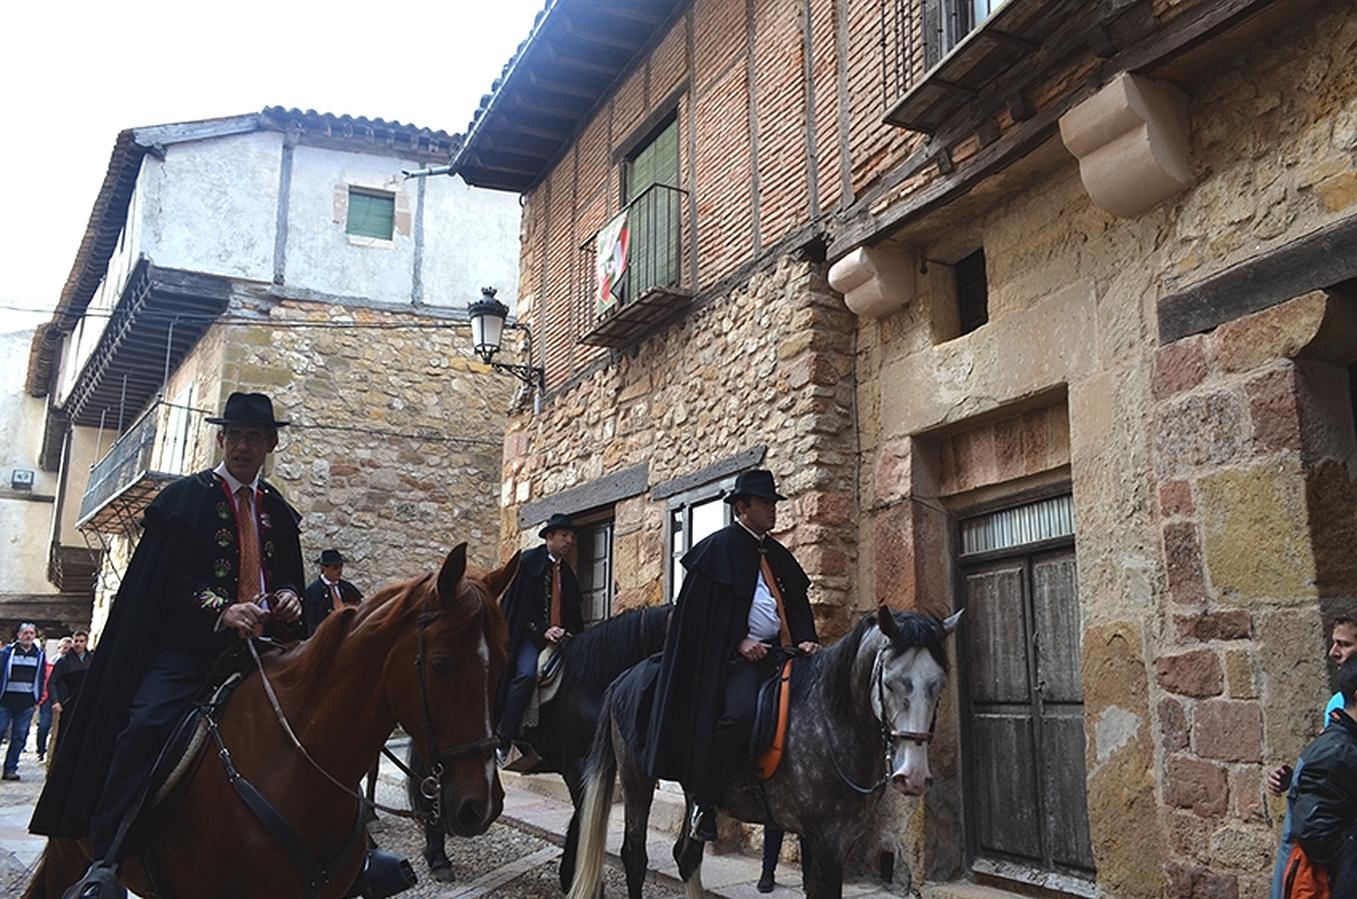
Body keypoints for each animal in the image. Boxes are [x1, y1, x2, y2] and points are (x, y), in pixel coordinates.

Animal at [567, 605, 960, 899]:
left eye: (939, 684)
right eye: (891, 682)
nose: (913, 777)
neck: (830, 716)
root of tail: (623, 678)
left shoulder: (828, 838)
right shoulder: (826, 841)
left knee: (687, 855)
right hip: (637, 778)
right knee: (635, 856)